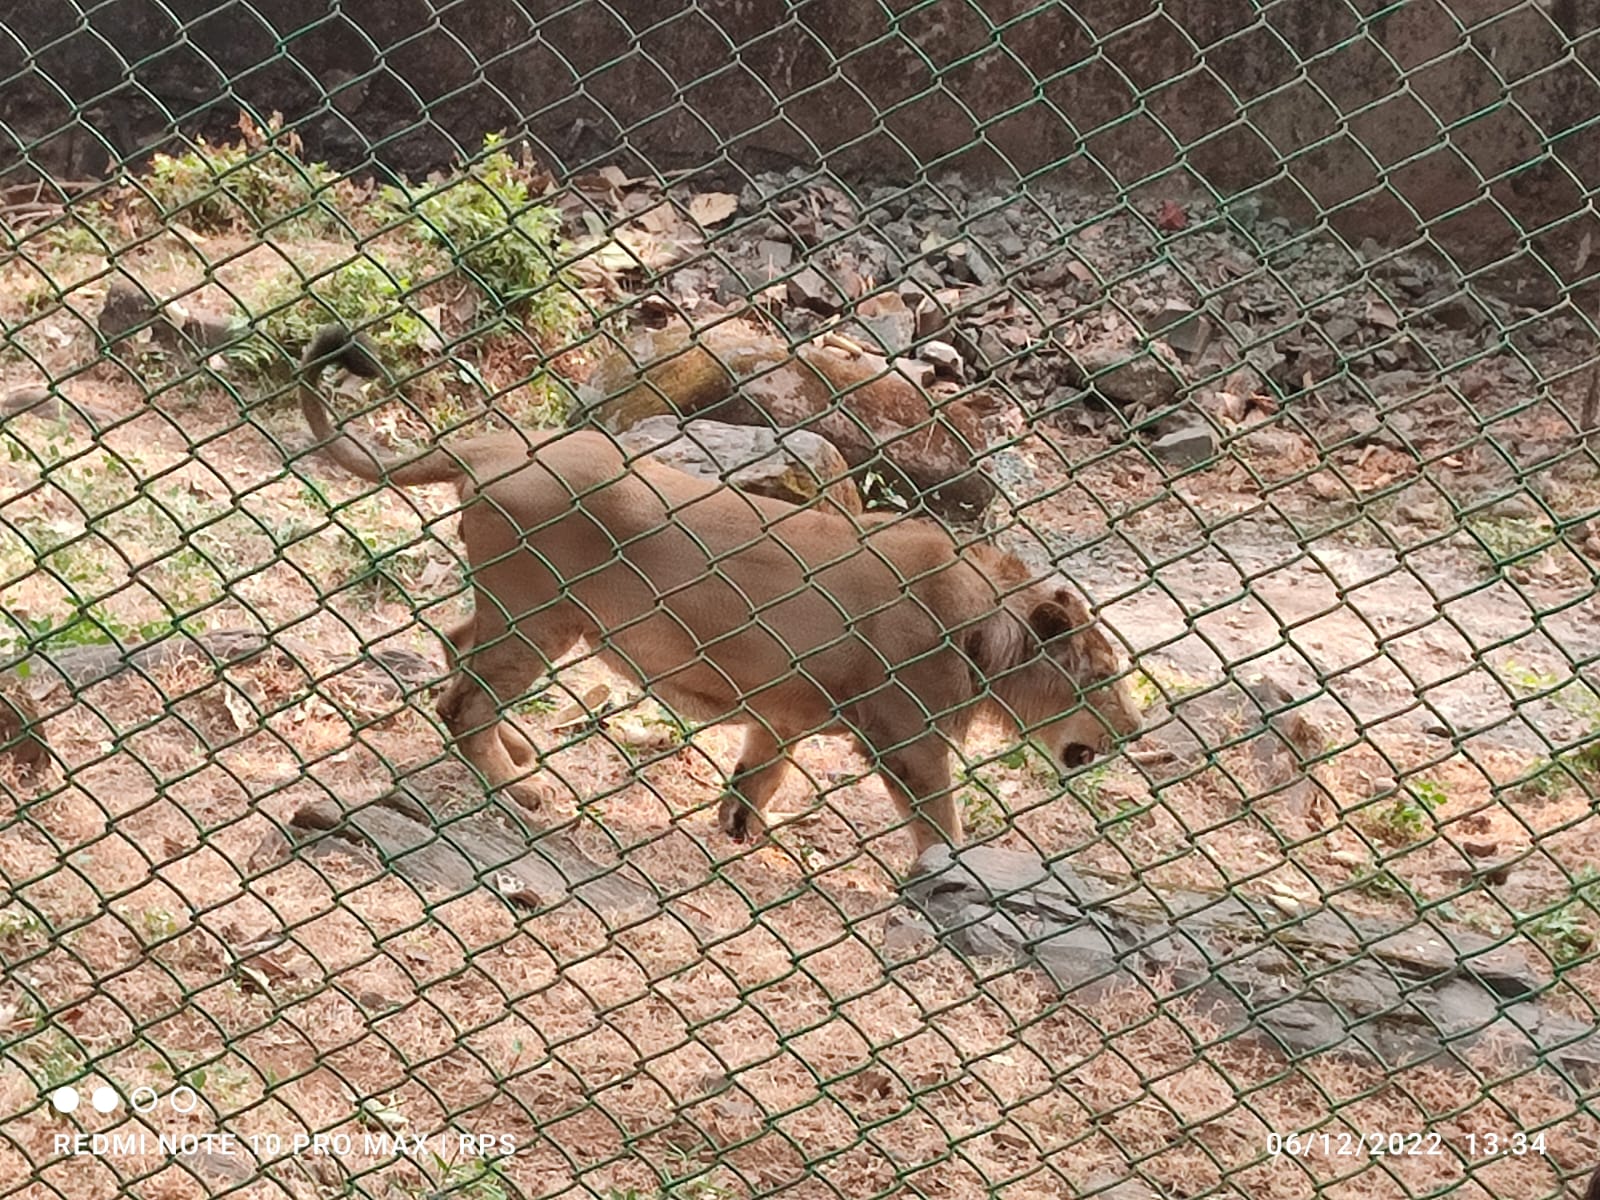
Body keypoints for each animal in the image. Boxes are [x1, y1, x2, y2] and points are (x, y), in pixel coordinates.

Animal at [297, 326, 1139, 857]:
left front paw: (740, 835)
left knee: (457, 655)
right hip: (539, 616)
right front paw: (951, 879)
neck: (986, 623)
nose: (1131, 734)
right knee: (467, 700)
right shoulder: (907, 736)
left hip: (522, 616)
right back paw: (519, 791)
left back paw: (520, 753)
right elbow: (939, 819)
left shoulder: (788, 711)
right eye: (1101, 678)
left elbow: (759, 777)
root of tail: (497, 445)